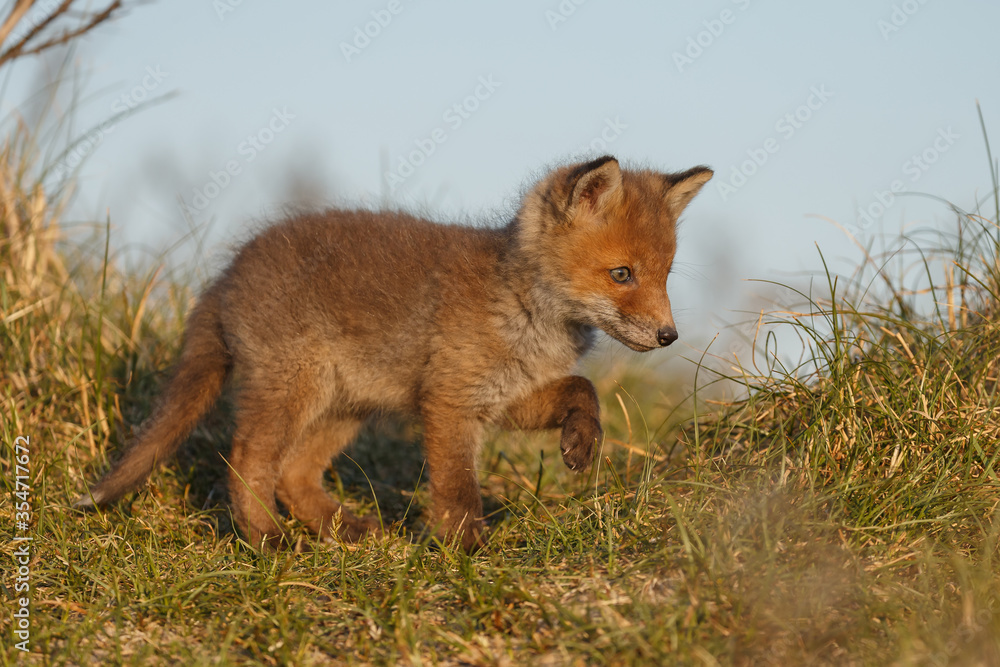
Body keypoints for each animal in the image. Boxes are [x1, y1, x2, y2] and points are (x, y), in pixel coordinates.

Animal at [76, 156, 712, 552]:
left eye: (665, 275)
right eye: (622, 274)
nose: (669, 336)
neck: (526, 313)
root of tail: (229, 272)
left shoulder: (505, 398)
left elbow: (584, 389)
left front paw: (582, 443)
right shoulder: (451, 402)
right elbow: (457, 488)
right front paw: (468, 550)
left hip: (343, 408)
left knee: (294, 474)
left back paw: (346, 530)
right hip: (294, 392)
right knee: (248, 461)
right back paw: (265, 540)